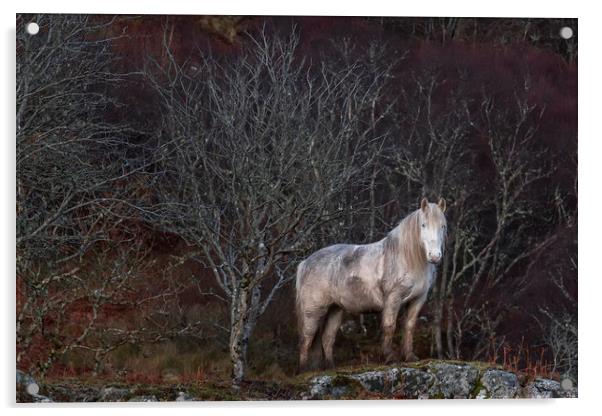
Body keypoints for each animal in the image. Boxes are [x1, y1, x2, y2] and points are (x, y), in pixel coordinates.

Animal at [292, 198, 442, 370]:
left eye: (442, 226)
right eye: (423, 225)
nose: (435, 256)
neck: (406, 257)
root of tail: (305, 263)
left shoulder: (418, 299)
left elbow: (409, 327)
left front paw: (410, 357)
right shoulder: (393, 298)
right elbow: (389, 326)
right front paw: (390, 358)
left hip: (334, 309)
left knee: (326, 338)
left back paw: (330, 367)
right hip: (313, 311)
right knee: (306, 339)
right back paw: (303, 369)